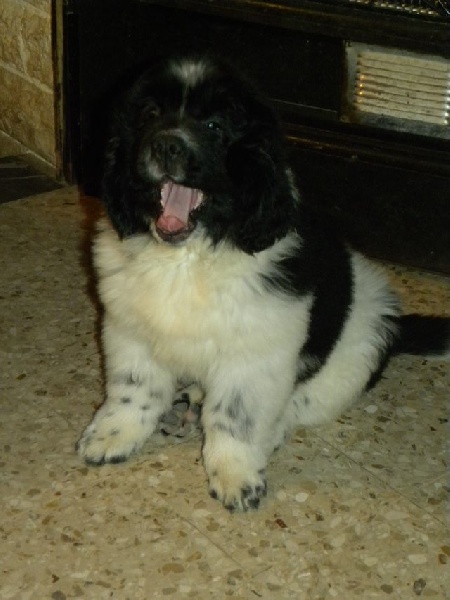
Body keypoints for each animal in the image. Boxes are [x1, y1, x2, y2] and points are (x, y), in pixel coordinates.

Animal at [77, 56, 450, 511]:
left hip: (352, 357)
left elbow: (235, 418)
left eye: (215, 126)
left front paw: (235, 475)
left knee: (295, 405)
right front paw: (112, 436)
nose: (166, 145)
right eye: (149, 115)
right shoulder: (130, 328)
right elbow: (134, 390)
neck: (190, 256)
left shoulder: (255, 356)